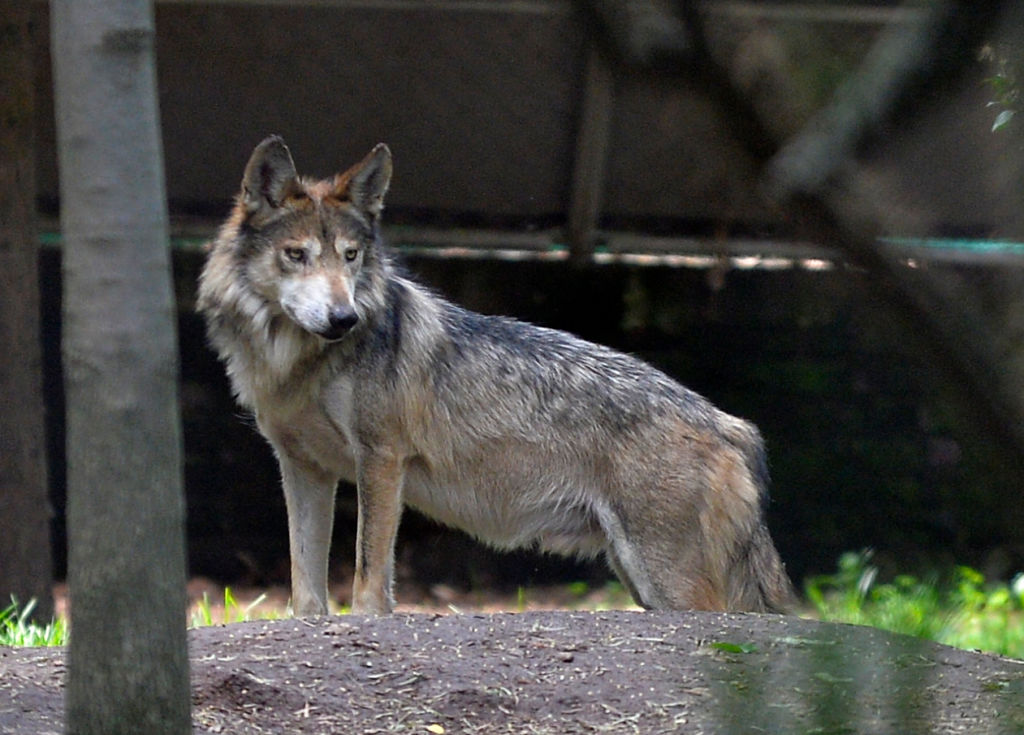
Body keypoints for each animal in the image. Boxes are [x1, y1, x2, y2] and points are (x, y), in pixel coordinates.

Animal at [197, 136, 795, 616]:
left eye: (350, 257)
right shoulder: (303, 468)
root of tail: (732, 426)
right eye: (296, 255)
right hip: (638, 578)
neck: (297, 364)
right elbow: (305, 588)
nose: (344, 319)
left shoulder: (382, 460)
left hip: (665, 582)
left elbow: (370, 580)